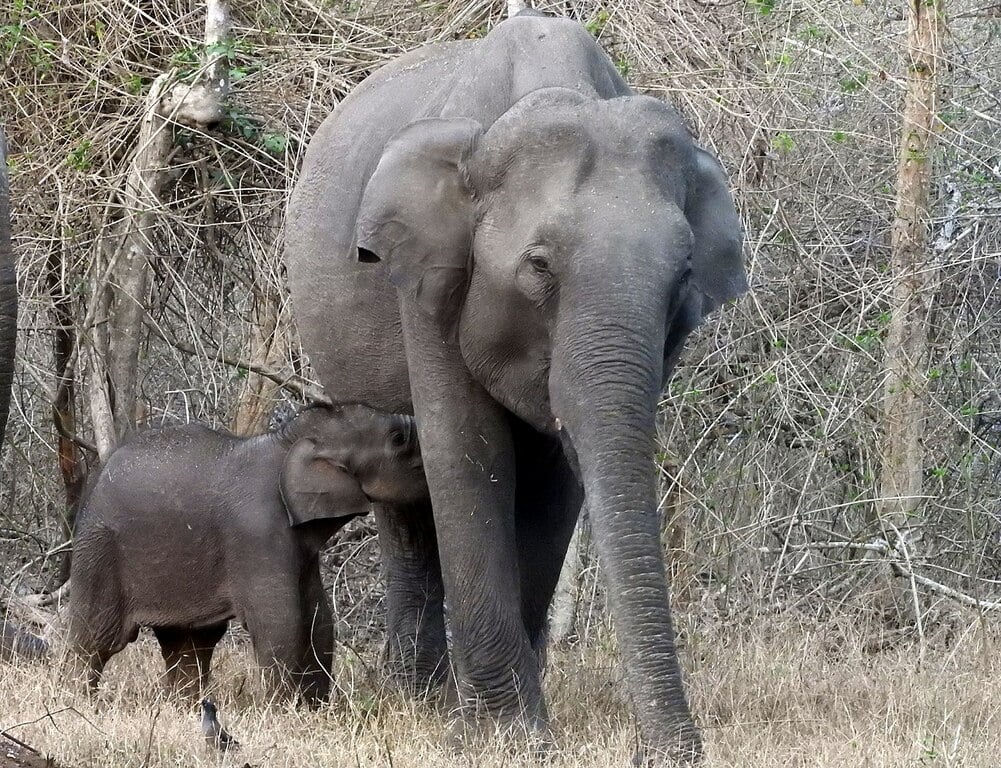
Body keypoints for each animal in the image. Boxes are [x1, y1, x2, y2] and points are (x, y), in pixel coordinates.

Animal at [67, 403, 428, 705]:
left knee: (189, 642)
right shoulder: (258, 532)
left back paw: (187, 707)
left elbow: (318, 617)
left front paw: (316, 711)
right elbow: (281, 621)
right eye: (398, 439)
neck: (288, 440)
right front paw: (282, 712)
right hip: (99, 549)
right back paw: (79, 701)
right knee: (97, 639)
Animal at [284, 12, 746, 762]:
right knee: (404, 494)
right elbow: (470, 454)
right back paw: (417, 700)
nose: (663, 753)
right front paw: (505, 734)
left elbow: (556, 481)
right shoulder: (431, 273)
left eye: (682, 278)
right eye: (538, 265)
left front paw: (519, 725)